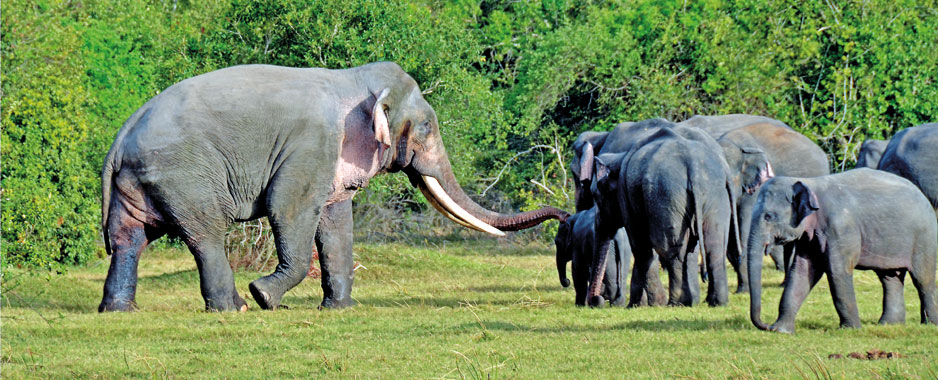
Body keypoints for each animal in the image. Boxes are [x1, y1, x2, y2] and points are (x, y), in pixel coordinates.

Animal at [98, 62, 568, 312]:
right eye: (428, 128)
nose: (565, 215)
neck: (352, 79)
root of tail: (121, 138)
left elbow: (336, 218)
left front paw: (340, 310)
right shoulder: (313, 143)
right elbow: (289, 208)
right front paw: (265, 296)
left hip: (137, 183)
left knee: (128, 241)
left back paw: (119, 311)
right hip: (183, 175)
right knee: (206, 236)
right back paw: (238, 307)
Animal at [588, 123, 736, 308]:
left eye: (595, 196)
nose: (596, 301)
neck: (619, 158)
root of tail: (693, 164)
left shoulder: (626, 195)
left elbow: (639, 244)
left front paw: (646, 304)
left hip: (666, 195)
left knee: (670, 249)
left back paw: (675, 303)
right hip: (715, 195)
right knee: (714, 245)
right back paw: (715, 302)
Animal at [744, 169, 936, 332]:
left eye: (769, 216)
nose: (766, 326)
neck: (810, 183)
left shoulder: (841, 229)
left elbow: (837, 272)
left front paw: (851, 330)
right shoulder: (808, 239)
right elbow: (802, 272)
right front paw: (781, 330)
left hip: (924, 237)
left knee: (923, 279)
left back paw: (930, 324)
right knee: (889, 278)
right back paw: (889, 324)